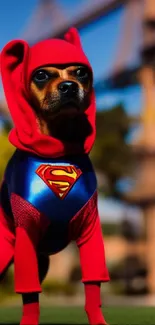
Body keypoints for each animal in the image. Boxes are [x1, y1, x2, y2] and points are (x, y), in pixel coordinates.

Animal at [0, 27, 109, 324]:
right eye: (41, 75)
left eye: (81, 72)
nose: (69, 86)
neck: (58, 151)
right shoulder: (26, 234)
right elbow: (29, 292)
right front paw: (28, 321)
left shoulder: (90, 232)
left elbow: (93, 285)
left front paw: (98, 320)